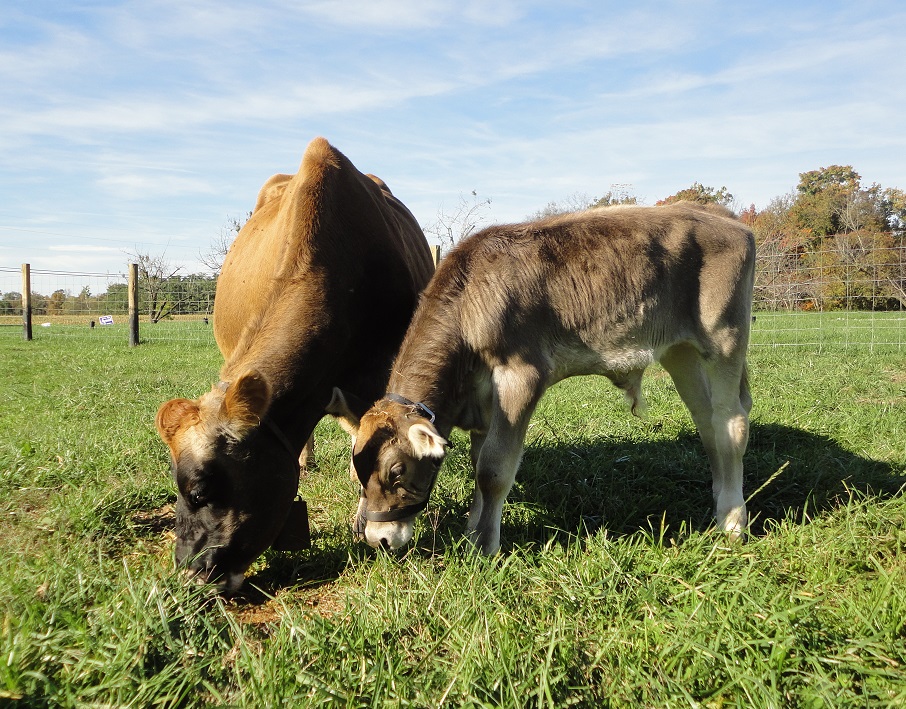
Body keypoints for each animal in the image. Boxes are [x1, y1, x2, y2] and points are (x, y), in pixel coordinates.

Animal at [328, 202, 756, 554]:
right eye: (355, 471)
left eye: (396, 471)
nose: (378, 540)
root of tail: (722, 218)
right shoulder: (483, 403)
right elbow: (479, 462)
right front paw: (472, 533)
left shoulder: (521, 375)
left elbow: (493, 469)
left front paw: (484, 547)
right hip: (680, 351)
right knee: (707, 422)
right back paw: (719, 500)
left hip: (725, 337)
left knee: (731, 423)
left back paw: (733, 521)